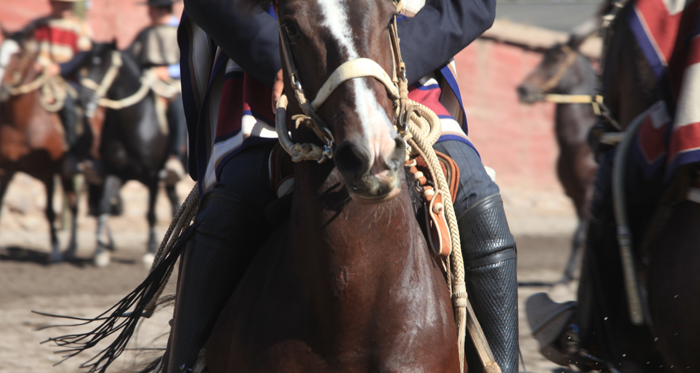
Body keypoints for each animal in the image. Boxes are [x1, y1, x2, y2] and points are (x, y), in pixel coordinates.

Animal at [82, 42, 182, 266]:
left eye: (105, 65)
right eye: (88, 63)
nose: (86, 99)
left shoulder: (153, 176)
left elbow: (151, 213)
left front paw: (150, 251)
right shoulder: (114, 172)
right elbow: (104, 206)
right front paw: (100, 251)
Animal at [516, 35, 600, 280]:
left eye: (554, 60)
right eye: (543, 57)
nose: (523, 89)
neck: (580, 142)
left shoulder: (590, 191)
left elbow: (582, 234)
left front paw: (568, 278)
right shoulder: (575, 194)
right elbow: (578, 235)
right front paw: (568, 274)